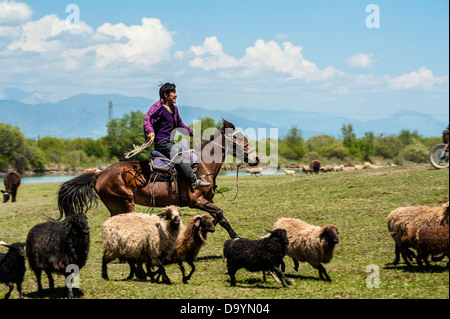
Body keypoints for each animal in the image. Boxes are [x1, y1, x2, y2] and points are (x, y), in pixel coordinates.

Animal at [58, 120, 258, 240]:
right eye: (237, 138)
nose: (256, 158)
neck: (202, 166)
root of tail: (99, 174)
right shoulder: (197, 201)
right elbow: (221, 214)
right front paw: (235, 237)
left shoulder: (208, 201)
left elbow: (220, 217)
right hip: (125, 203)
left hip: (115, 206)